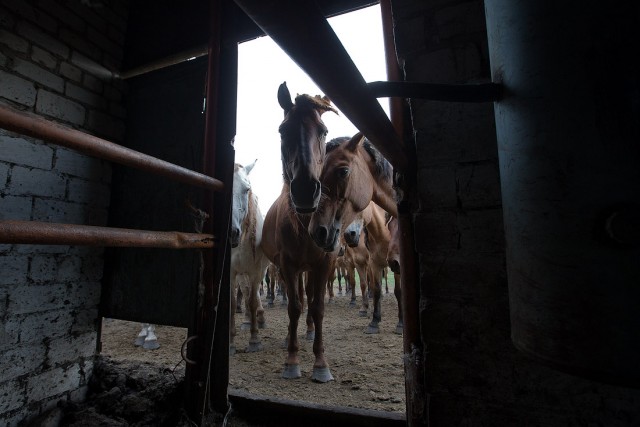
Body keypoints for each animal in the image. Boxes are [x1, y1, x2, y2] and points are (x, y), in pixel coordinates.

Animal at [262, 83, 340, 384]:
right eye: (284, 131)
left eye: (324, 131)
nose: (306, 190)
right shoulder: (287, 265)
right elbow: (294, 306)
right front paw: (292, 360)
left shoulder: (324, 264)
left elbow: (317, 307)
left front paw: (321, 363)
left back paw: (307, 332)